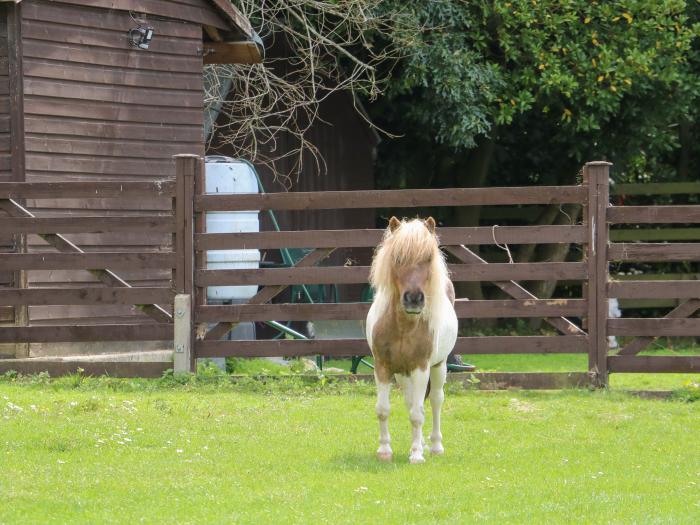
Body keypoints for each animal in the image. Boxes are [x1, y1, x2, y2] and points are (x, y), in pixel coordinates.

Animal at [366, 217, 460, 462]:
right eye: (398, 258)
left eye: (428, 258)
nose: (414, 298)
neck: (403, 327)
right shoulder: (382, 367)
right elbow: (383, 409)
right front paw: (384, 450)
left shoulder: (420, 367)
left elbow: (417, 414)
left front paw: (417, 455)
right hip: (402, 373)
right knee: (412, 402)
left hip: (439, 366)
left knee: (435, 400)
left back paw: (435, 446)